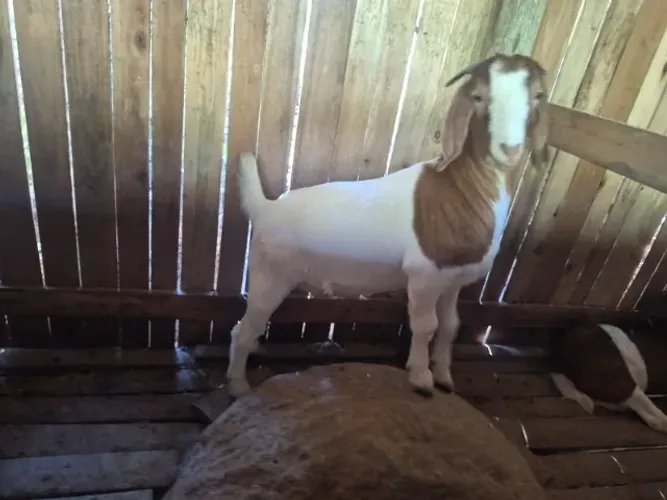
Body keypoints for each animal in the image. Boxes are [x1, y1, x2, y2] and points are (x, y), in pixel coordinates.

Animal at [226, 53, 549, 397]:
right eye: (478, 97)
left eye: (538, 96)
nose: (510, 149)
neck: (459, 189)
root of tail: (266, 207)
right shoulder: (424, 275)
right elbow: (426, 326)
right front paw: (421, 378)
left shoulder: (453, 280)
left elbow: (451, 326)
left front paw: (444, 378)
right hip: (270, 274)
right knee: (241, 329)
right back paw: (238, 385)